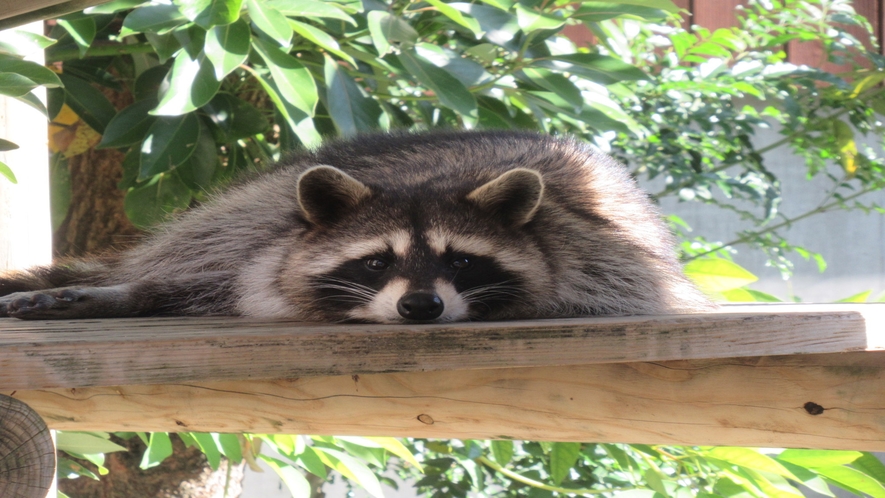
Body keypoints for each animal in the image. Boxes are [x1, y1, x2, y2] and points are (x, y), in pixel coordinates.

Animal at [0, 130, 712, 320]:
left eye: (461, 260)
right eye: (375, 261)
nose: (420, 307)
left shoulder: (602, 255)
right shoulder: (271, 237)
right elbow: (251, 277)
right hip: (261, 195)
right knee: (204, 256)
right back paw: (135, 289)